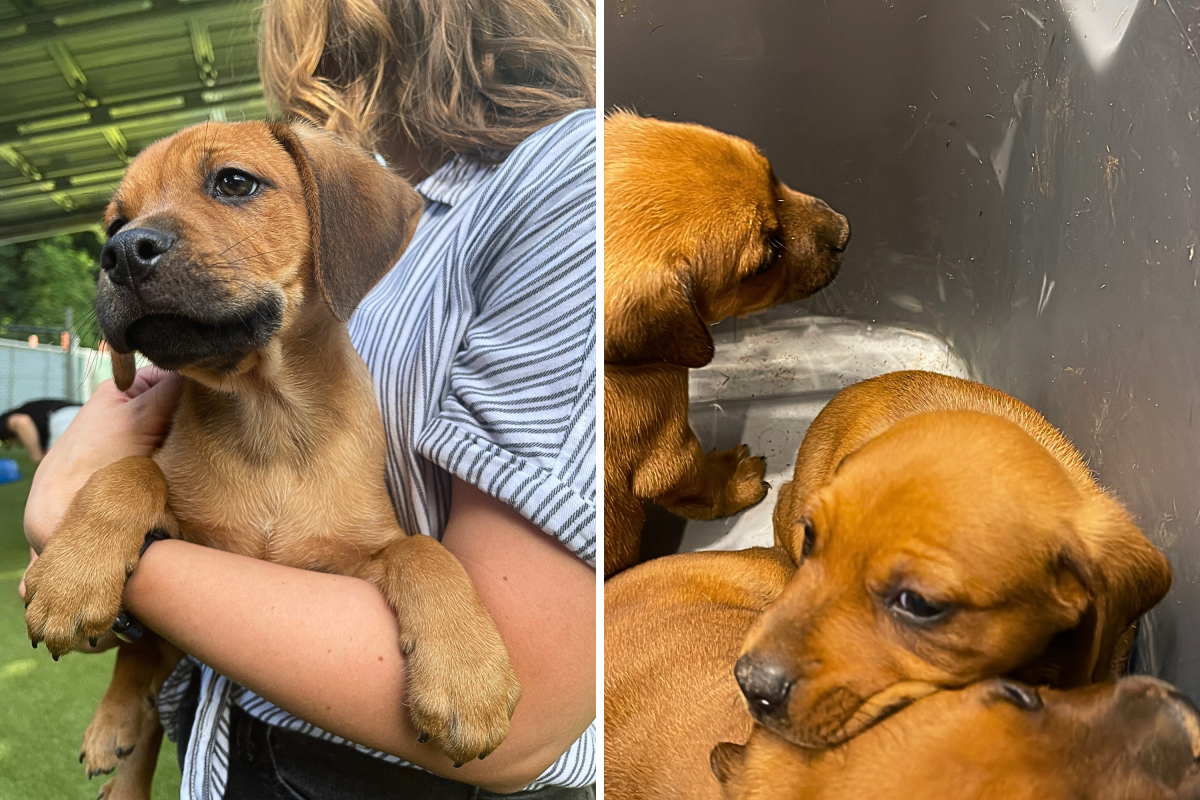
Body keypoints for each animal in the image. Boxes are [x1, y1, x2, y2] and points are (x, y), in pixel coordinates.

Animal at [22, 122, 520, 796]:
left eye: (234, 182)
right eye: (114, 223)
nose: (121, 252)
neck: (269, 420)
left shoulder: (351, 561)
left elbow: (424, 551)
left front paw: (468, 675)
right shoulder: (186, 534)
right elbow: (131, 470)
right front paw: (71, 574)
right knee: (141, 664)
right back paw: (114, 726)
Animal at [604, 112, 849, 575]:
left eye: (770, 171)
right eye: (767, 258)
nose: (846, 231)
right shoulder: (671, 460)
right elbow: (706, 485)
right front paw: (739, 480)